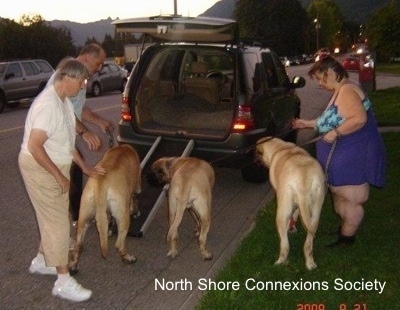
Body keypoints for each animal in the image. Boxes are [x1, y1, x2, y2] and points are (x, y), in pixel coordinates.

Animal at [69, 144, 141, 272]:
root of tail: (101, 183)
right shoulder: (136, 187)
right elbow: (135, 200)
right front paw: (136, 212)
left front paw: (109, 231)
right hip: (123, 217)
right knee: (119, 245)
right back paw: (128, 258)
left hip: (84, 217)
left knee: (79, 245)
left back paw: (73, 266)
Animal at [256, 137, 324, 270]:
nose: (255, 161)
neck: (280, 148)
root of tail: (303, 180)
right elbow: (296, 212)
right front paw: (293, 226)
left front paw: (291, 226)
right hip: (315, 213)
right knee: (308, 244)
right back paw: (310, 264)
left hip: (281, 214)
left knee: (285, 245)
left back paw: (279, 262)